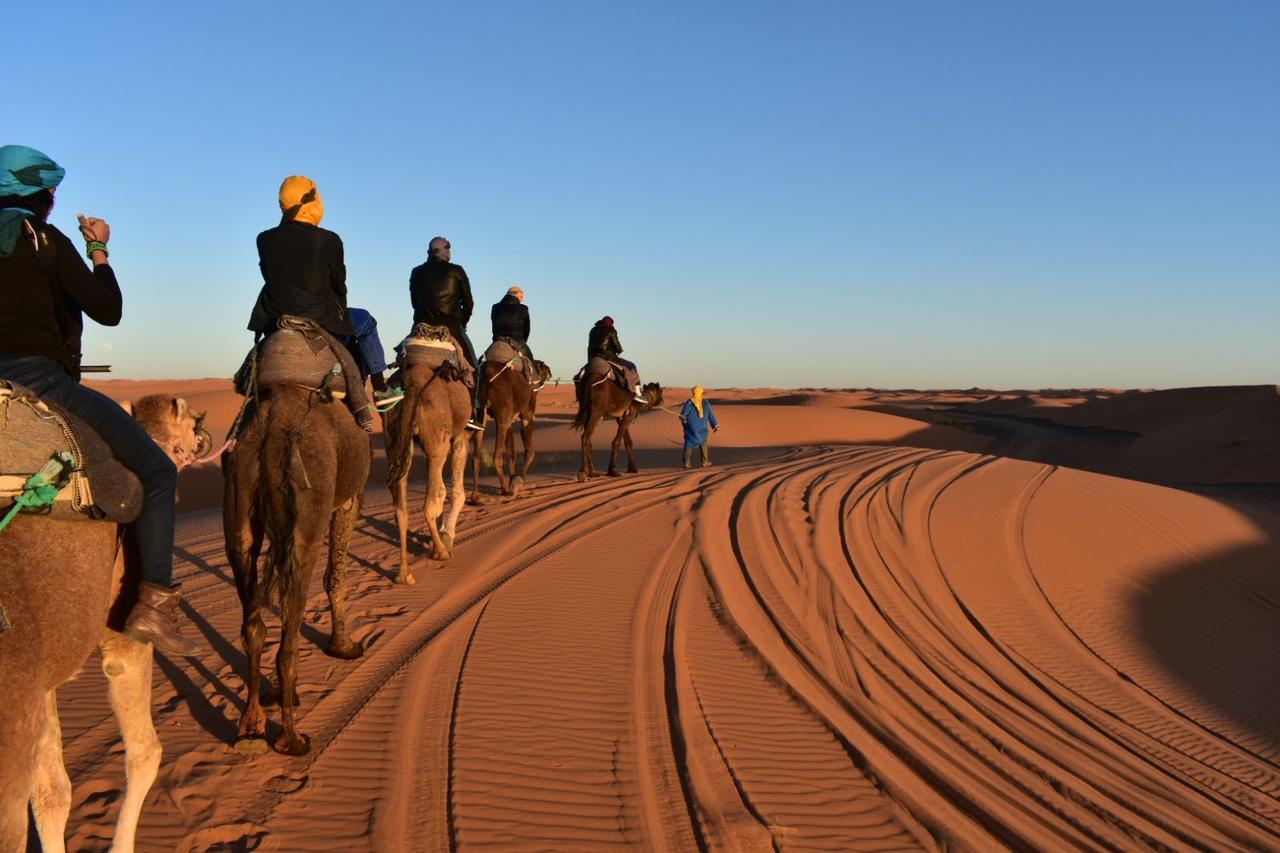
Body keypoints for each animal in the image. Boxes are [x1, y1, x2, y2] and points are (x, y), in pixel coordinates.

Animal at [0, 394, 209, 850]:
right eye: (188, 419)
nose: (204, 434)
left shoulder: (40, 678)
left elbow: (52, 793)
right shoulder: (125, 631)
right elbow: (146, 752)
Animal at [220, 381, 368, 753]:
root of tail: (270, 430)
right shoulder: (349, 498)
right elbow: (335, 577)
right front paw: (344, 647)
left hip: (238, 503)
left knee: (253, 625)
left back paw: (251, 729)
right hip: (309, 511)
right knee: (288, 637)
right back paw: (292, 738)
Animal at [389, 358, 476, 584]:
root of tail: (412, 386)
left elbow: (443, 492)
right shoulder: (461, 437)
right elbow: (455, 493)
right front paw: (447, 536)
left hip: (397, 437)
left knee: (400, 509)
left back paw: (403, 574)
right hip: (437, 441)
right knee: (429, 503)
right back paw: (441, 552)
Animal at [471, 356, 550, 502]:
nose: (549, 371)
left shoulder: (510, 419)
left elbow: (511, 451)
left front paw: (513, 479)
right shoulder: (526, 413)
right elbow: (529, 452)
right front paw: (519, 481)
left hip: (480, 411)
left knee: (476, 456)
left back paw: (475, 496)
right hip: (502, 413)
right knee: (496, 456)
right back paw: (505, 490)